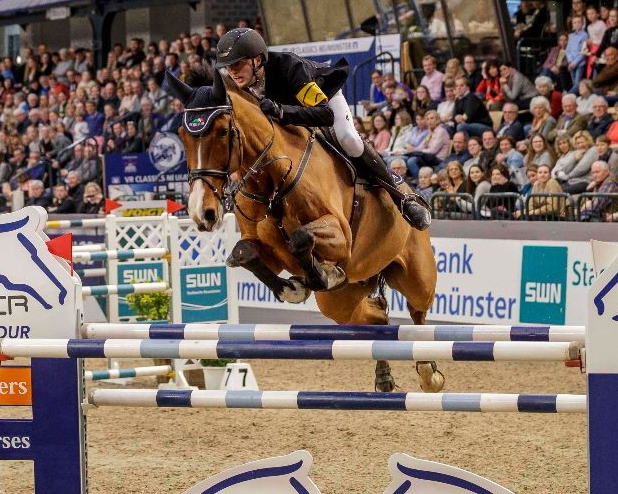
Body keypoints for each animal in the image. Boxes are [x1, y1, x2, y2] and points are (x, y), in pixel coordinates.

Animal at [166, 69, 440, 394]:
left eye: (222, 132)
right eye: (183, 136)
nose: (202, 213)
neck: (272, 179)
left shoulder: (341, 236)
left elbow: (301, 238)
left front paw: (322, 275)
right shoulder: (269, 252)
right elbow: (243, 253)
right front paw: (293, 287)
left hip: (416, 276)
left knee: (418, 313)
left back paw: (429, 374)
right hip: (341, 300)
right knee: (375, 317)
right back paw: (383, 377)